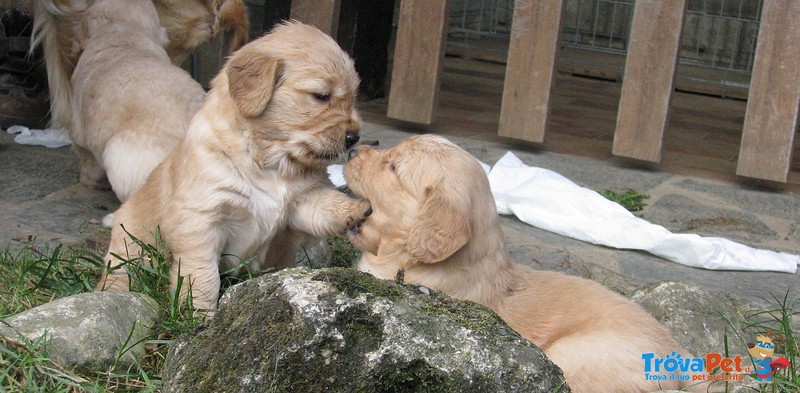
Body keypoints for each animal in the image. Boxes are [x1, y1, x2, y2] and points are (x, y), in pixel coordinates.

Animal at [98, 22, 370, 312]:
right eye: (321, 96)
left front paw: (358, 208)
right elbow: (203, 276)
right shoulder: (201, 221)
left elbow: (327, 203)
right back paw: (115, 291)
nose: (354, 137)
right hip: (129, 242)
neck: (271, 163)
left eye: (353, 99)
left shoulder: (301, 201)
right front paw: (199, 313)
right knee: (120, 269)